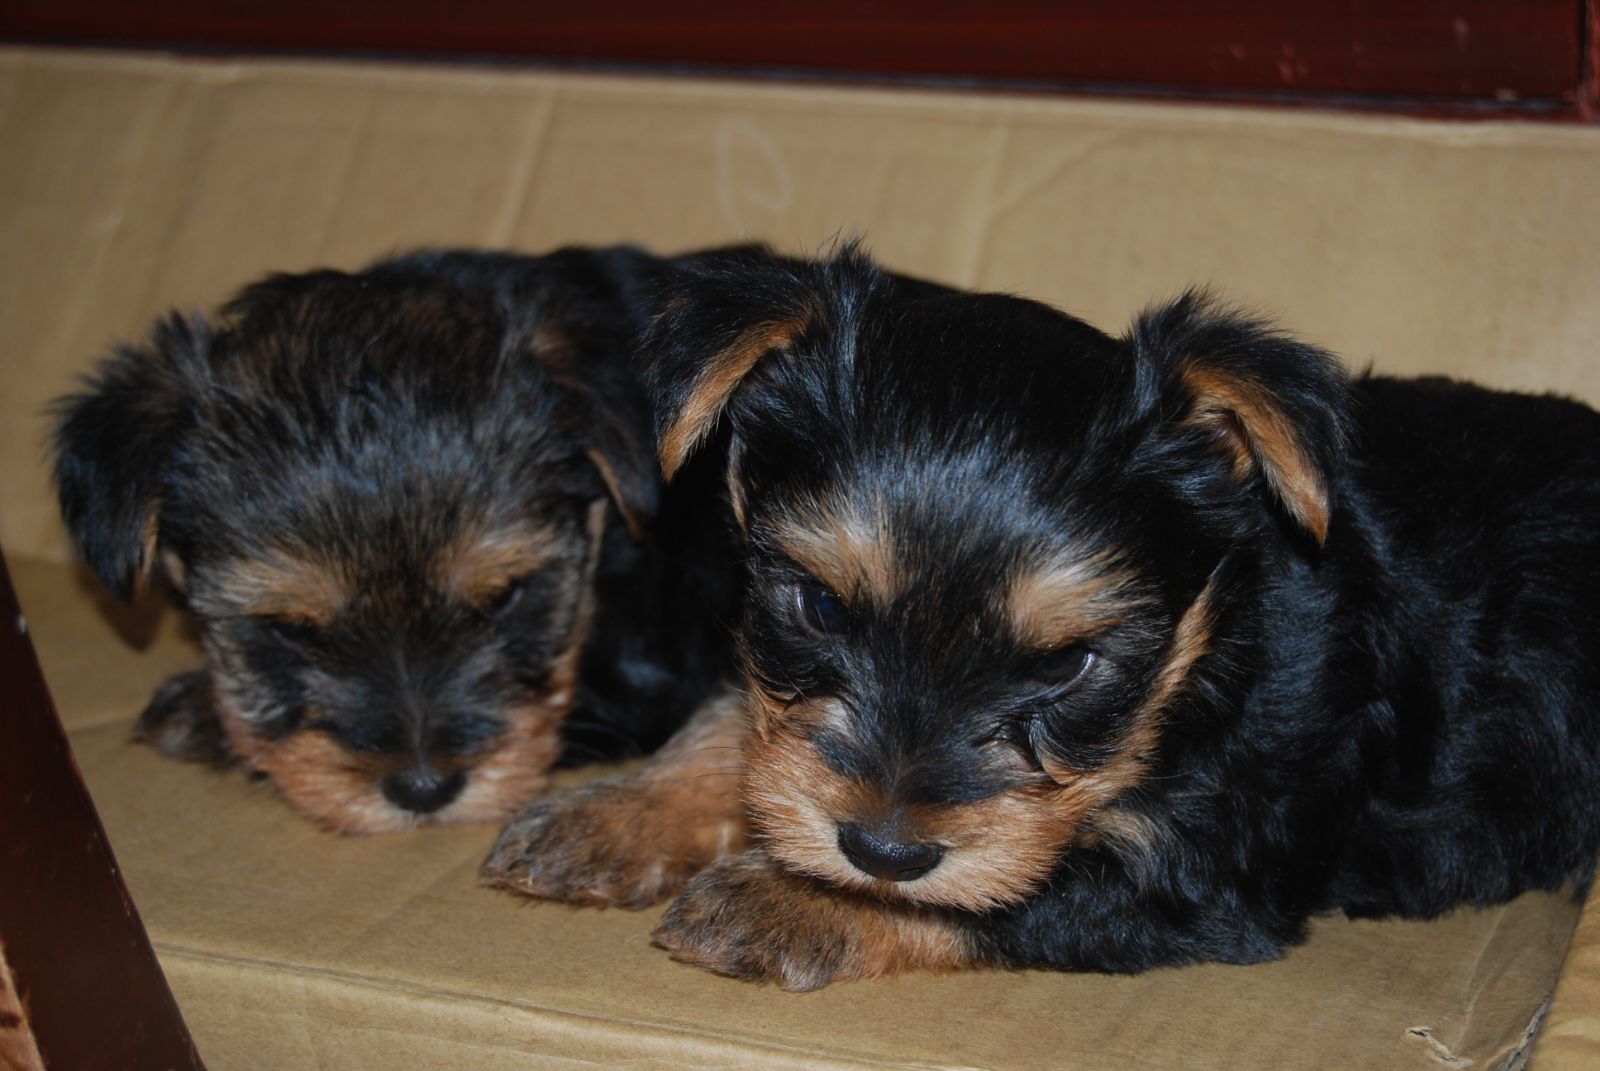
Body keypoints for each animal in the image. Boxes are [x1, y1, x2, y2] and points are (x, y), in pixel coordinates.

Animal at [483, 241, 1600, 986]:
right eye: (817, 605)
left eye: (1069, 666)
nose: (884, 850)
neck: (1212, 643)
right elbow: (744, 720)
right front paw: (618, 813)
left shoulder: (1208, 871)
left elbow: (1027, 890)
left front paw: (789, 899)